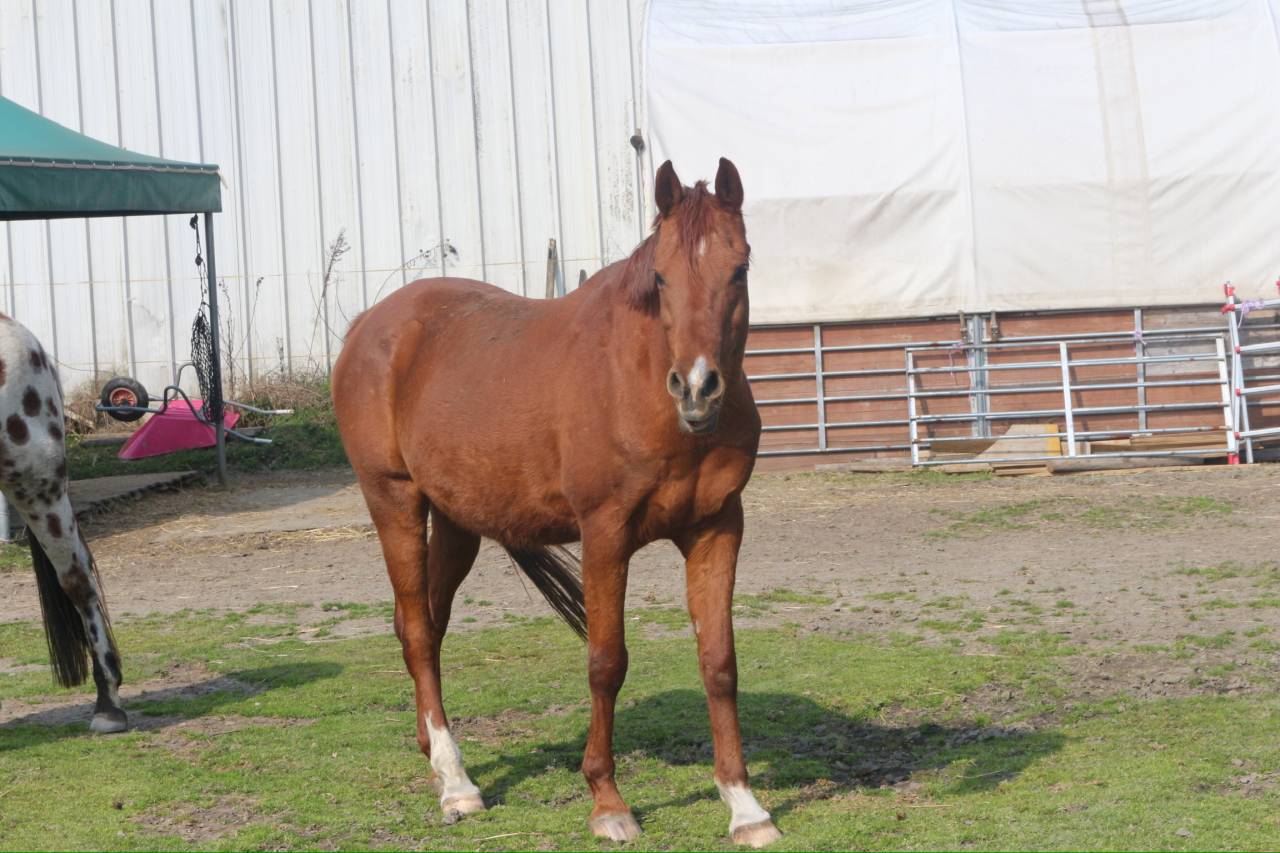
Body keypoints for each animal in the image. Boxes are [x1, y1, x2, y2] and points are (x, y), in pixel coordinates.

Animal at [332, 158, 778, 847]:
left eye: (741, 268)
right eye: (661, 276)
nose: (698, 388)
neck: (642, 386)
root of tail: (371, 325)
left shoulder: (717, 528)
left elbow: (719, 661)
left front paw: (744, 806)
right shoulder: (605, 534)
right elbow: (606, 662)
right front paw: (607, 802)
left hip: (457, 521)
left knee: (426, 626)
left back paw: (435, 755)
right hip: (394, 501)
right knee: (417, 631)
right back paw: (457, 784)